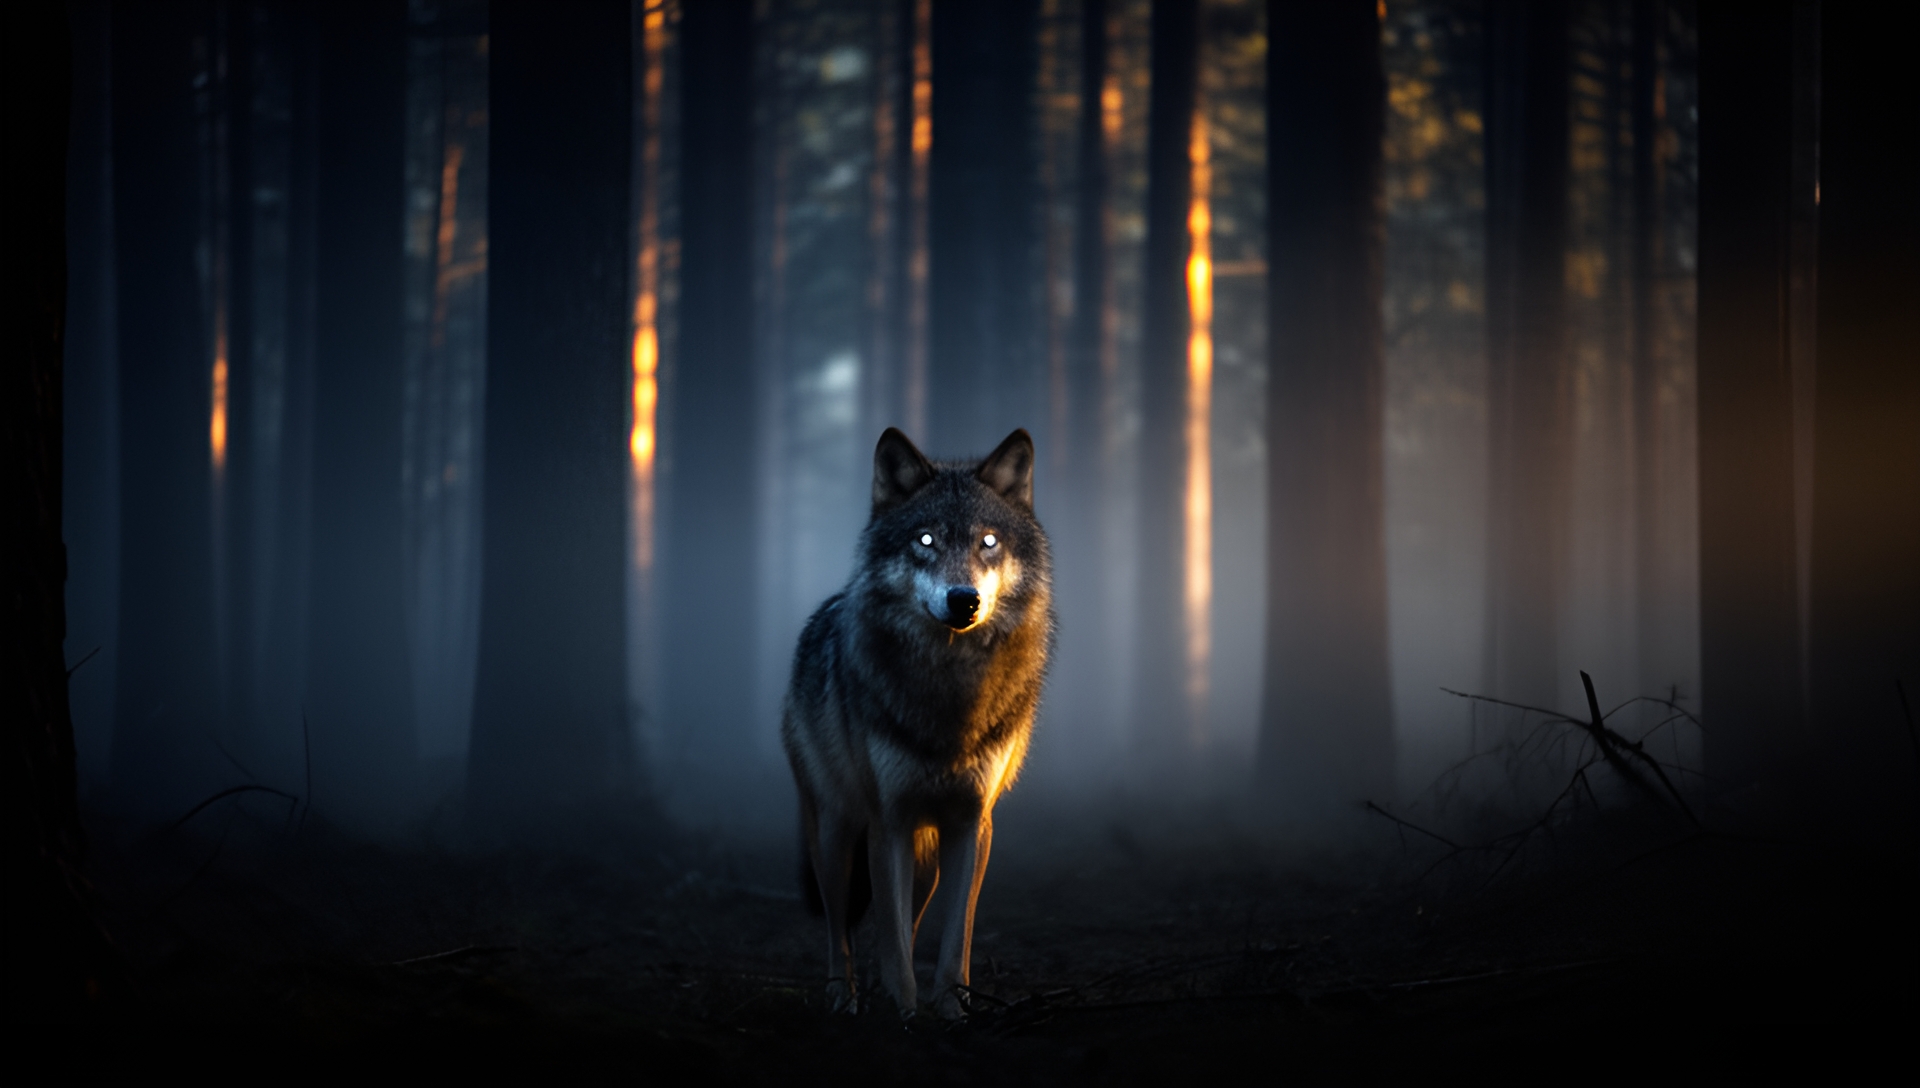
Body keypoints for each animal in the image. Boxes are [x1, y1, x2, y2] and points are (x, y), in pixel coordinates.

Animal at [781, 427, 1052, 1018]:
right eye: (925, 540)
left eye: (988, 542)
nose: (964, 600)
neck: (948, 692)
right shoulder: (889, 822)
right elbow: (890, 935)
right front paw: (905, 1014)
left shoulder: (972, 826)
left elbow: (951, 938)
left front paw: (950, 1009)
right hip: (835, 834)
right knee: (840, 927)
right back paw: (844, 995)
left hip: (926, 852)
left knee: (905, 918)